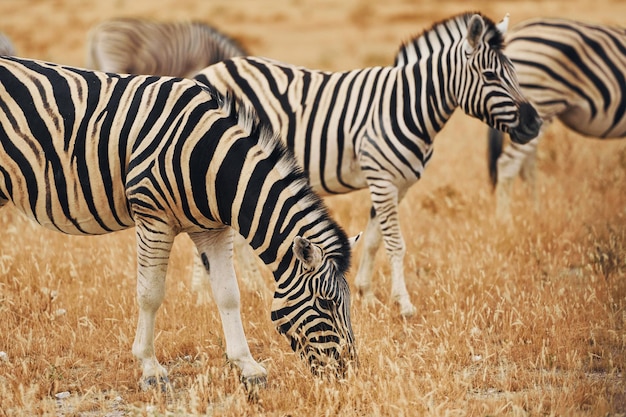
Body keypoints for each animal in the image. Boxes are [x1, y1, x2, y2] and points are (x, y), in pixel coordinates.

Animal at [0, 54, 356, 386]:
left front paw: (247, 366)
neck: (211, 160)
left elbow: (229, 293)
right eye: (325, 303)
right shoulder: (152, 217)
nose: (348, 372)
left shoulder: (213, 229)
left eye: (346, 303)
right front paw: (150, 368)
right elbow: (150, 294)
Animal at [193, 12, 540, 316]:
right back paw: (214, 296)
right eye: (490, 75)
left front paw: (367, 294)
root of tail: (207, 71)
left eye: (515, 71)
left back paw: (242, 289)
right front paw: (404, 304)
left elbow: (374, 240)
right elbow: (396, 244)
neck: (407, 106)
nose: (534, 123)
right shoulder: (382, 177)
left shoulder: (397, 184)